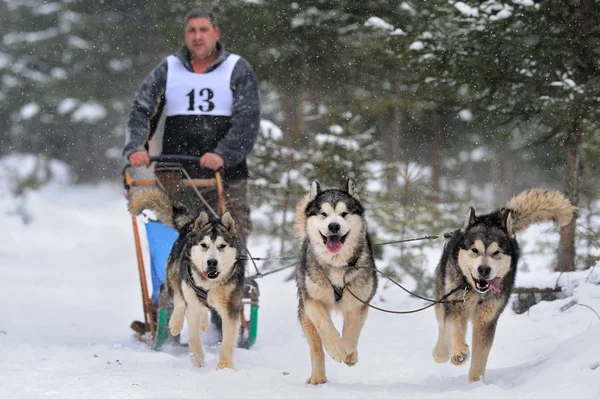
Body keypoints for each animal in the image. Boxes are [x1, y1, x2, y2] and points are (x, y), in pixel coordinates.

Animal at [129, 189, 246, 370]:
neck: (209, 285)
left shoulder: (230, 308)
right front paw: (197, 357)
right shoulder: (192, 305)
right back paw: (176, 323)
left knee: (202, 309)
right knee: (178, 300)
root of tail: (190, 226)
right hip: (174, 275)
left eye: (222, 246)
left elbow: (227, 340)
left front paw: (225, 366)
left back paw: (203, 322)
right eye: (204, 245)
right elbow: (192, 336)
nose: (212, 262)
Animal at [296, 180, 378, 384]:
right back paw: (318, 376)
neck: (337, 265)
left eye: (344, 214)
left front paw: (347, 351)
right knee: (316, 347)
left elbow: (352, 329)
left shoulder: (359, 302)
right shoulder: (312, 301)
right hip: (305, 316)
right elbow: (325, 325)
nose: (334, 226)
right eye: (323, 214)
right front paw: (336, 348)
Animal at [432, 189, 576, 382]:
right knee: (442, 325)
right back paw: (441, 352)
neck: (477, 293)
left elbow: (480, 357)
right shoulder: (455, 308)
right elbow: (453, 330)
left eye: (496, 252)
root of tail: (491, 217)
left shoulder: (486, 320)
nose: (484, 269)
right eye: (474, 250)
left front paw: (476, 383)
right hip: (444, 296)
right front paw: (458, 353)